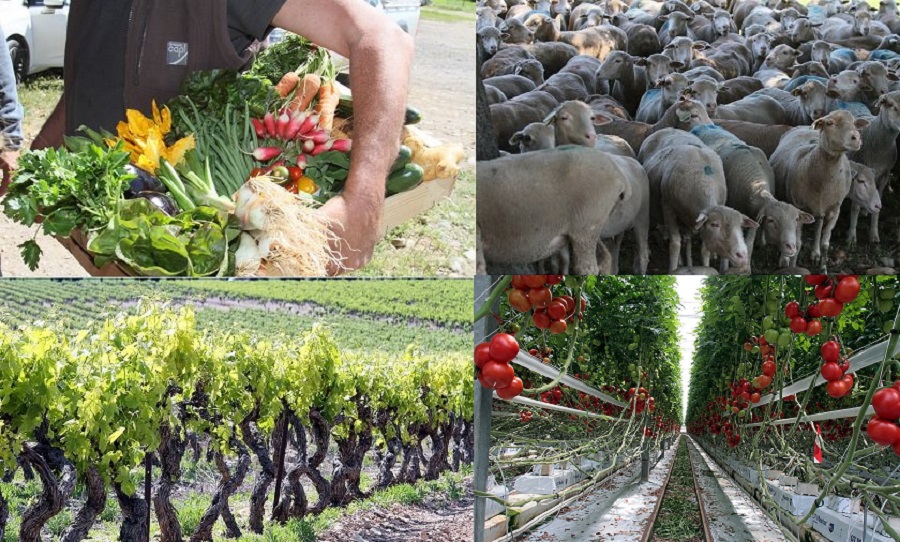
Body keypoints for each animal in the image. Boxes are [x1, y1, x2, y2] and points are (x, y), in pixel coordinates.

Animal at [636, 128, 756, 272]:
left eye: (740, 226)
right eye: (715, 224)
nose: (742, 256)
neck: (703, 179)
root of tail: (668, 128)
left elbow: (705, 250)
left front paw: (706, 267)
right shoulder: (668, 208)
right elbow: (675, 244)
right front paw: (672, 269)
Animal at [688, 123, 816, 268]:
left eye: (796, 220)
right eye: (771, 220)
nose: (791, 247)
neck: (756, 184)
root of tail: (703, 124)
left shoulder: (754, 214)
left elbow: (751, 241)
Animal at [768, 111, 868, 268]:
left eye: (854, 123)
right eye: (829, 123)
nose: (856, 137)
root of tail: (803, 126)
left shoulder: (835, 209)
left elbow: (825, 244)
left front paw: (823, 267)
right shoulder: (798, 209)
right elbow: (797, 243)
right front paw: (789, 264)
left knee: (818, 225)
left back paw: (815, 253)